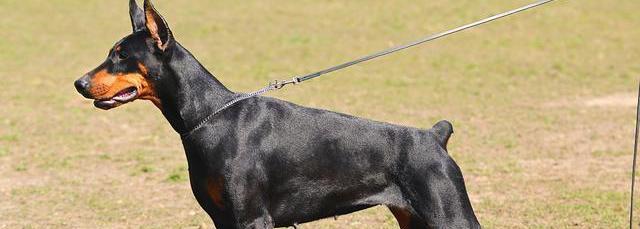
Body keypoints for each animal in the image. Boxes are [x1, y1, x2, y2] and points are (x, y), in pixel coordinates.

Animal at [74, 0, 480, 228]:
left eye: (121, 55)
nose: (79, 82)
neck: (210, 117)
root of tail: (434, 135)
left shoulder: (252, 218)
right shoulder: (223, 220)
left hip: (450, 214)